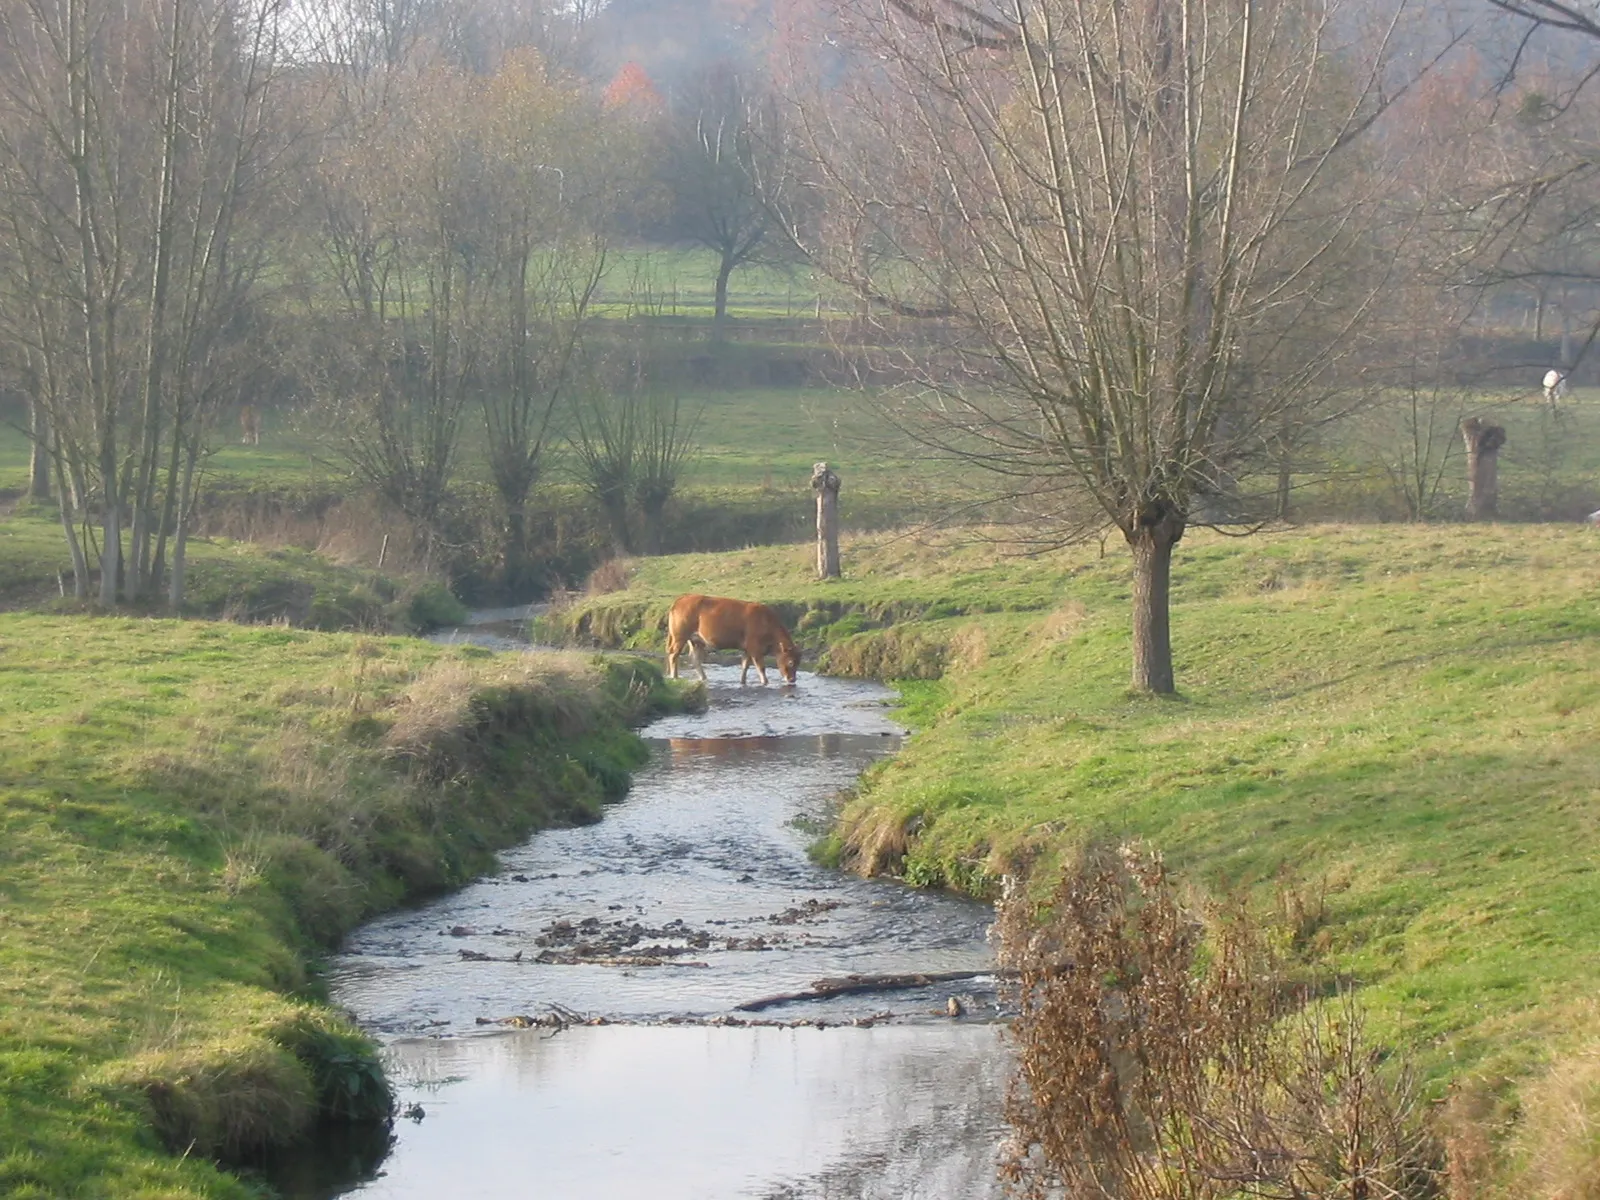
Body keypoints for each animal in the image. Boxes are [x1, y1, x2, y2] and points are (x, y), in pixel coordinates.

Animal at [668, 595, 800, 684]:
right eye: (790, 662)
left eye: (798, 663)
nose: (792, 680)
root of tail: (683, 598)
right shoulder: (755, 648)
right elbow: (761, 667)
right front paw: (765, 682)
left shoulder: (747, 649)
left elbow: (745, 666)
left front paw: (742, 682)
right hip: (679, 637)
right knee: (673, 655)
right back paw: (674, 677)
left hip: (696, 640)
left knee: (695, 659)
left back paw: (703, 678)